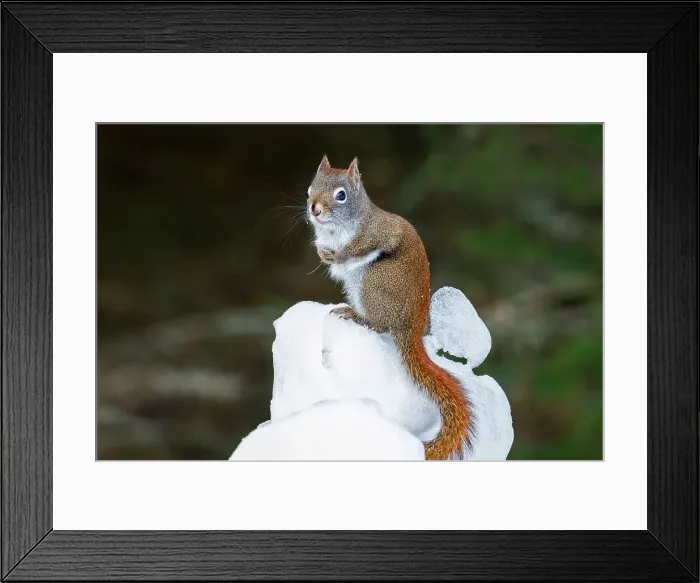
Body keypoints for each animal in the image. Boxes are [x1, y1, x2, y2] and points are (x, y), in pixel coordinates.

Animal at [305, 155, 474, 460]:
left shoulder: (379, 232)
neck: (336, 229)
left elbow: (358, 248)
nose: (315, 210)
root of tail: (411, 327)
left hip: (372, 284)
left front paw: (339, 254)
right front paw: (323, 253)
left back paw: (355, 315)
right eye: (309, 189)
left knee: (380, 325)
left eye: (341, 195)